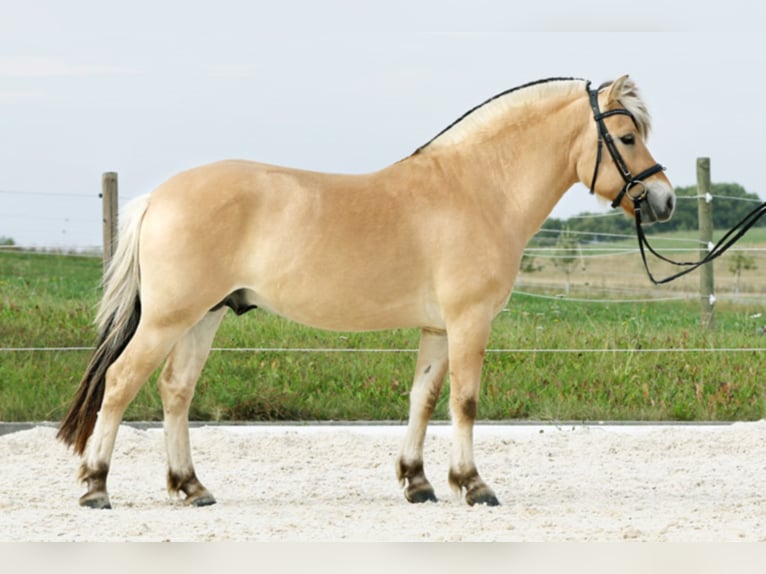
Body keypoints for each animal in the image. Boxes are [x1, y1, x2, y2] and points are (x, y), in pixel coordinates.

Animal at [57, 75, 675, 509]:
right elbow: (465, 401)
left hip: (203, 316)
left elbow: (423, 397)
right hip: (168, 317)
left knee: (175, 391)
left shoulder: (436, 326)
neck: (478, 189)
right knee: (121, 383)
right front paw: (473, 484)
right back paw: (96, 487)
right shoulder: (469, 320)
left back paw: (191, 487)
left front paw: (418, 482)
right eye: (626, 137)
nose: (665, 201)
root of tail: (158, 196)